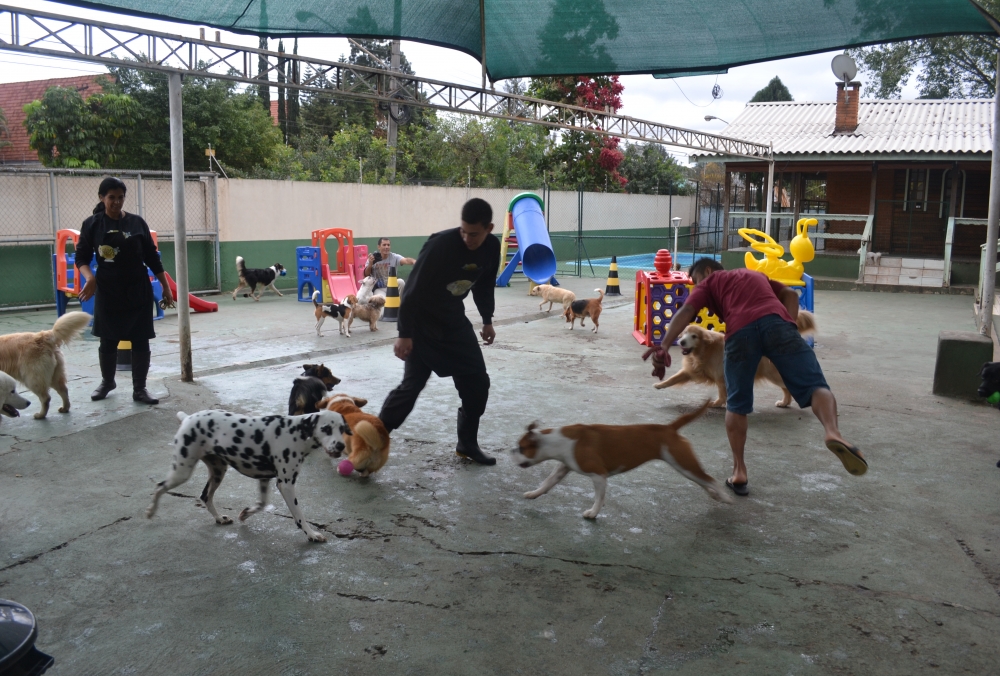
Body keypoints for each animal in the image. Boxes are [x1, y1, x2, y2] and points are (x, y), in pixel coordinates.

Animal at [146, 406, 352, 544]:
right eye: (326, 428)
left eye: (342, 428)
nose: (341, 445)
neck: (296, 432)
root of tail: (188, 418)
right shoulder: (286, 484)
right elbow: (299, 515)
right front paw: (311, 534)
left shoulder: (264, 479)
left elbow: (261, 504)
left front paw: (245, 514)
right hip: (182, 471)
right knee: (159, 486)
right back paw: (151, 511)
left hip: (218, 472)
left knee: (205, 496)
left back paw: (219, 518)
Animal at [512, 402, 732, 516]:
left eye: (522, 448)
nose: (512, 451)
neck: (556, 440)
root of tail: (669, 428)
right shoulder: (562, 468)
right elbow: (547, 483)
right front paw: (534, 493)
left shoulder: (598, 475)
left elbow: (599, 497)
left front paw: (593, 513)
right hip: (683, 466)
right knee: (703, 481)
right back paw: (714, 495)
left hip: (683, 463)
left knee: (710, 480)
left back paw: (725, 497)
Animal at [652, 312, 816, 406]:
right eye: (684, 333)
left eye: (694, 336)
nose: (681, 342)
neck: (705, 350)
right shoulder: (690, 371)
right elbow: (673, 378)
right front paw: (660, 385)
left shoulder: (721, 377)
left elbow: (721, 393)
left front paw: (717, 403)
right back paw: (784, 403)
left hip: (774, 375)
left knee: (789, 386)